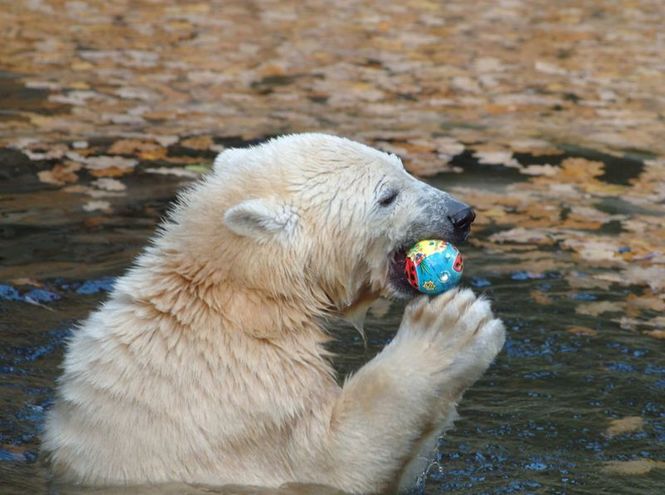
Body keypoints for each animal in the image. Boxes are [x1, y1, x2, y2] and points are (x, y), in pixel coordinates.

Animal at [42, 134, 504, 494]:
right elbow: (338, 462)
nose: (461, 214)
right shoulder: (245, 397)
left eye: (402, 165)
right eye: (386, 195)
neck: (240, 303)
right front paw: (454, 326)